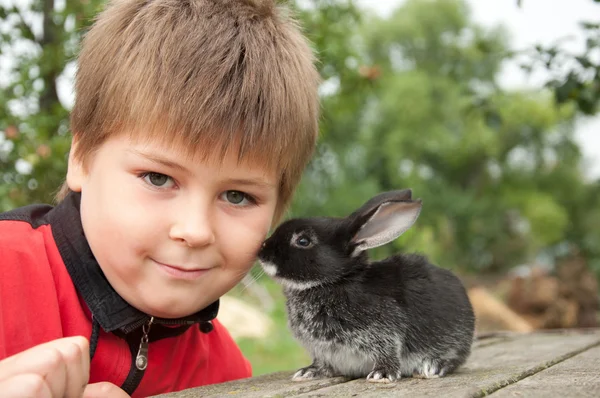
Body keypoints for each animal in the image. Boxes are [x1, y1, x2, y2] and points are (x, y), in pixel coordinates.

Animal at [256, 190, 474, 382]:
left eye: (303, 241)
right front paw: (308, 372)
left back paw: (431, 368)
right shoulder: (322, 351)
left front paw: (381, 375)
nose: (262, 251)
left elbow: (388, 352)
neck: (334, 281)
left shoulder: (385, 331)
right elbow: (322, 363)